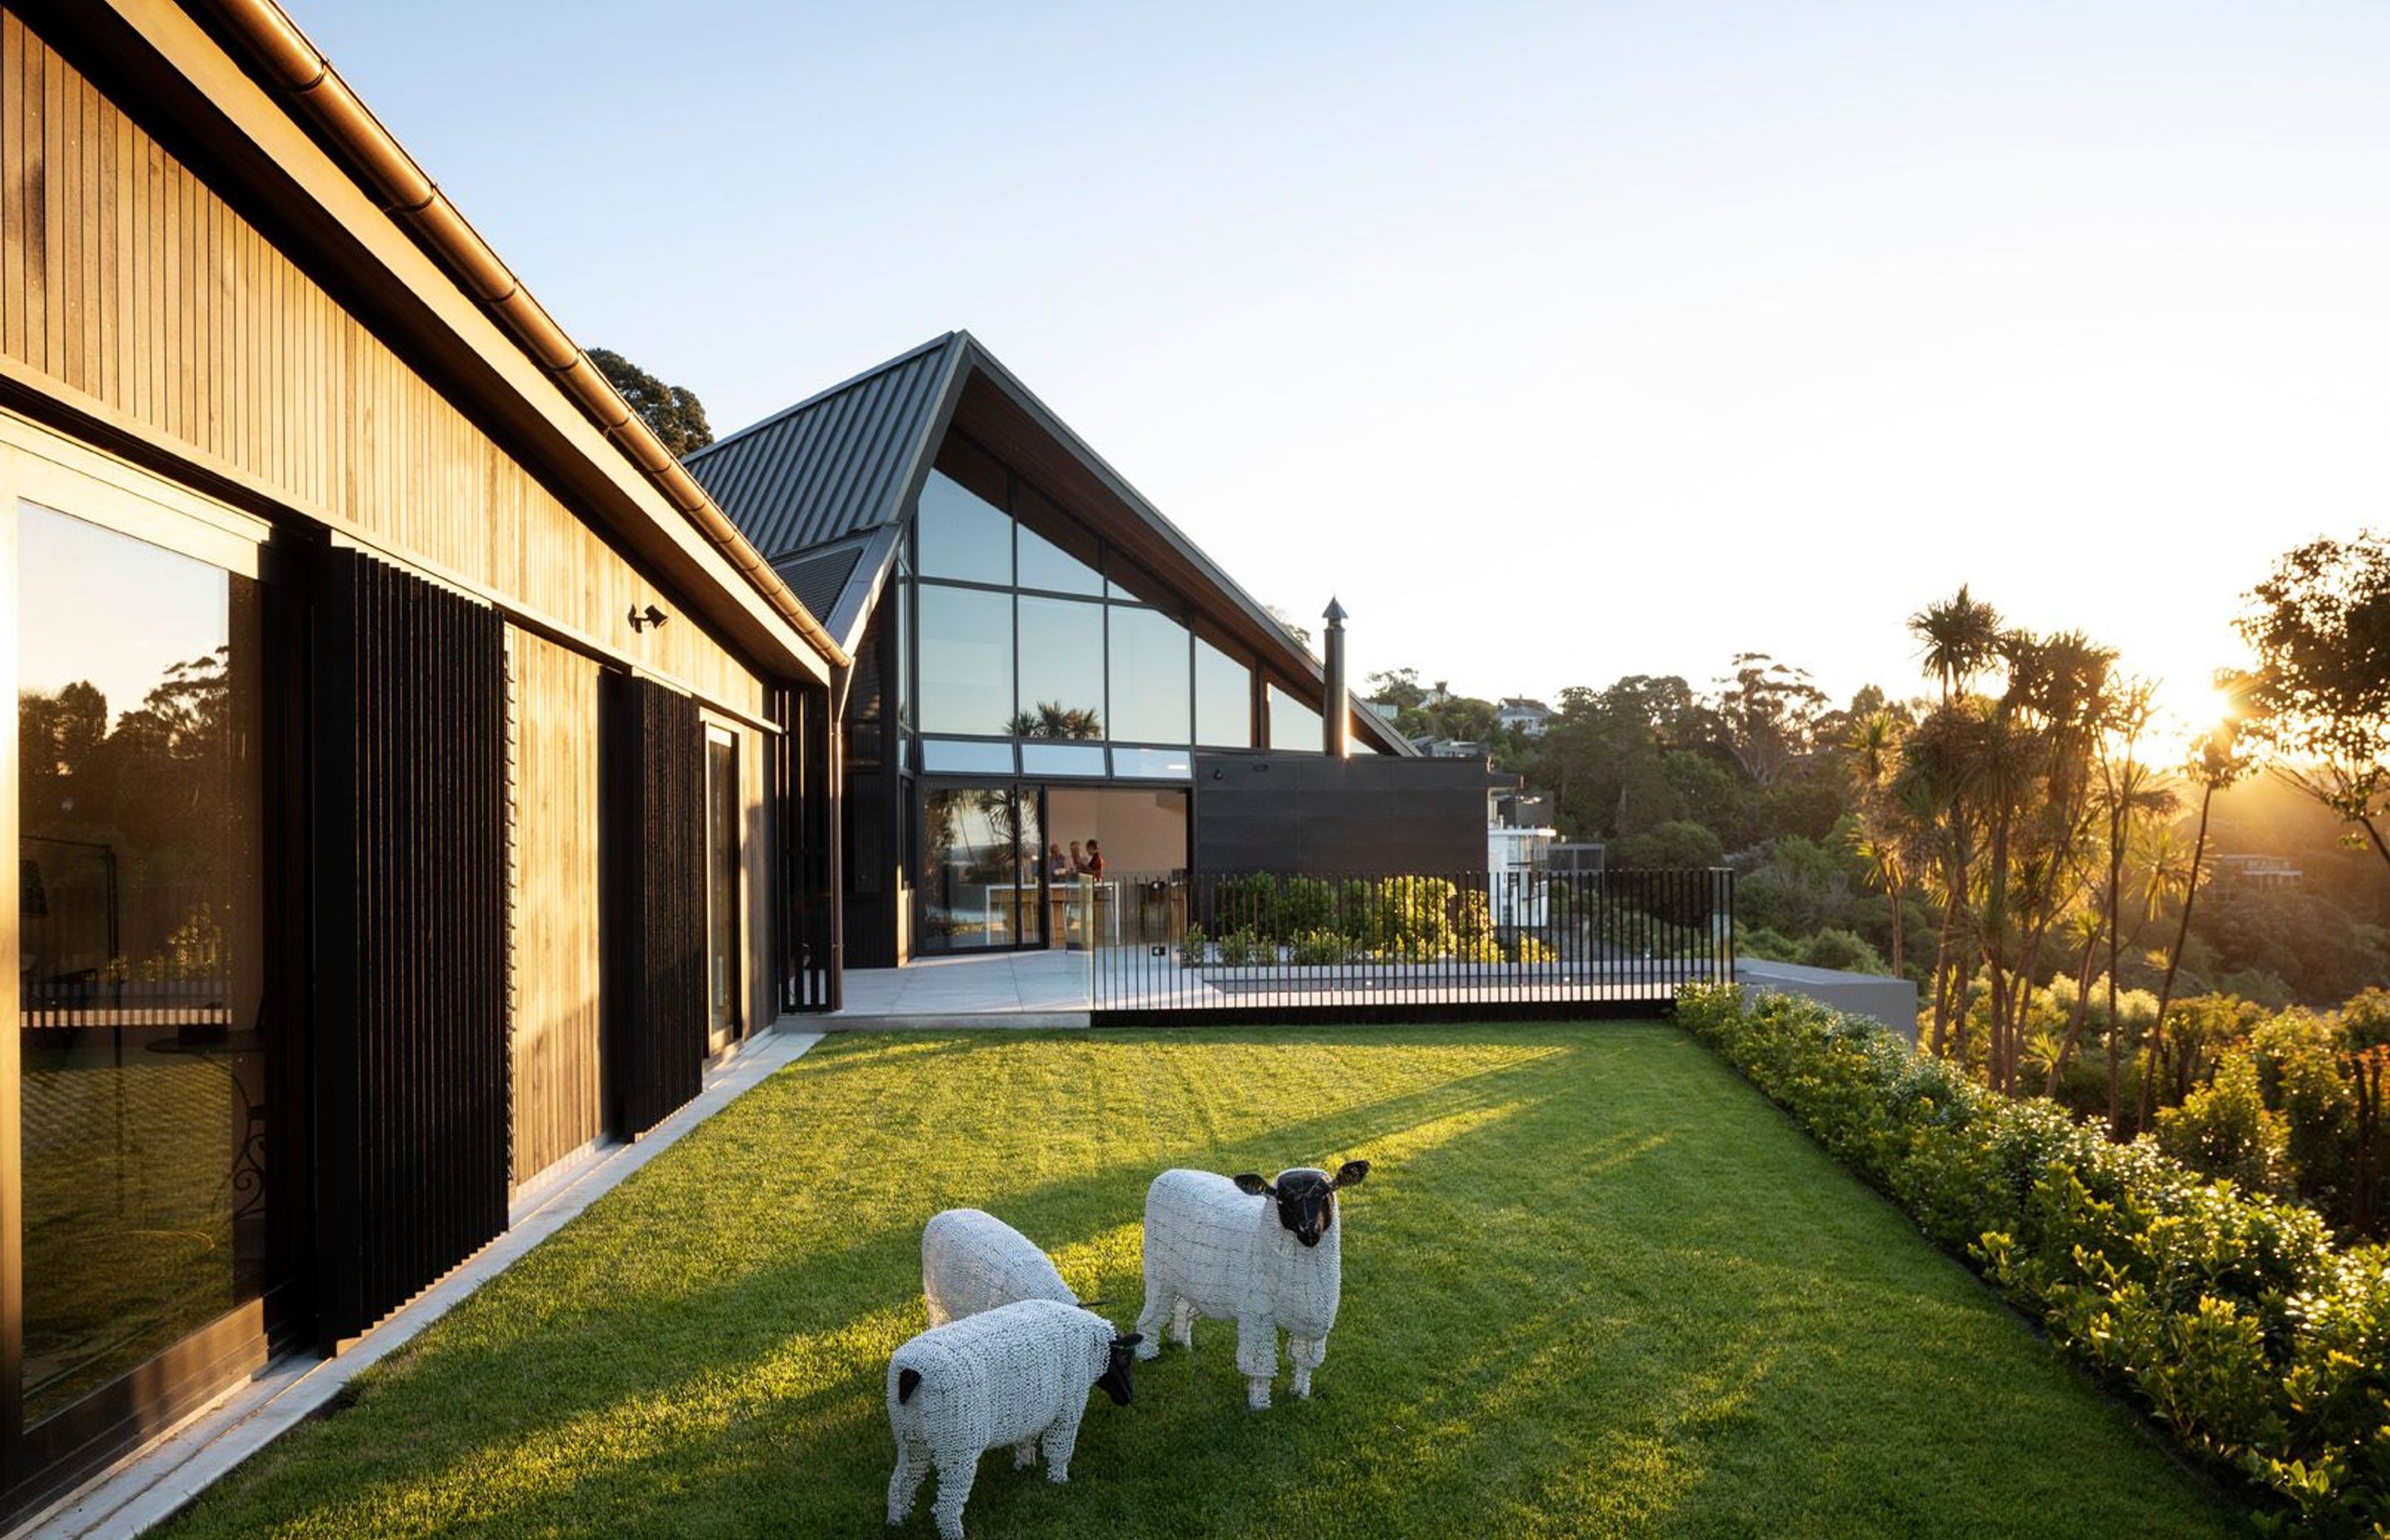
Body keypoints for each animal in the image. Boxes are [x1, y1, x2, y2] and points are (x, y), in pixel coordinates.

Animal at [1133, 1167, 1376, 1406]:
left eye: (1326, 1194)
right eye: (1281, 1200)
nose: (1309, 1231)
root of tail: (1167, 1173)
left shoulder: (1314, 1320)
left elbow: (1304, 1362)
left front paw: (1300, 1394)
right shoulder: (1257, 1315)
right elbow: (1260, 1367)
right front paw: (1259, 1404)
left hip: (1194, 1281)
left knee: (1182, 1309)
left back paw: (1183, 1343)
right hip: (1158, 1276)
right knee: (1150, 1318)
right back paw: (1147, 1354)